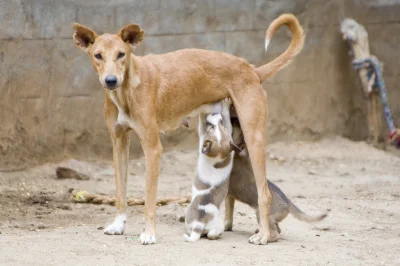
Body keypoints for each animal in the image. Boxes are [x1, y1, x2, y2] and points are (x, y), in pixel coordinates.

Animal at [72, 13, 304, 244]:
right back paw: (227, 226)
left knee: (264, 193)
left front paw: (149, 233)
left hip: (254, 137)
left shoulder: (153, 148)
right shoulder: (119, 143)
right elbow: (121, 192)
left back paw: (263, 235)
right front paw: (119, 224)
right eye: (98, 55)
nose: (110, 80)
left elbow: (149, 199)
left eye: (121, 54)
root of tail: (252, 69)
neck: (127, 89)